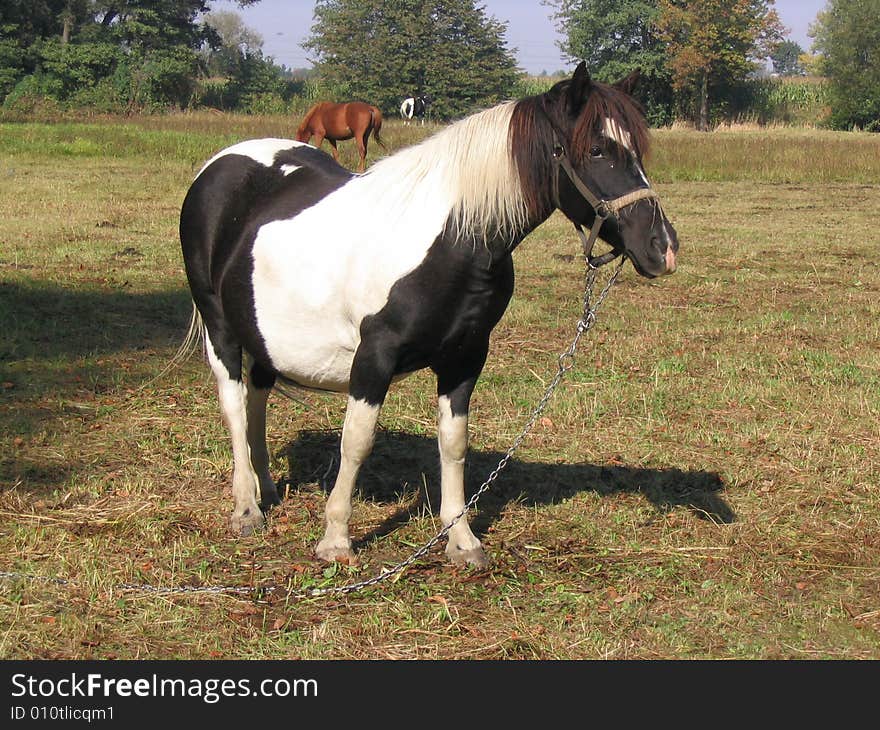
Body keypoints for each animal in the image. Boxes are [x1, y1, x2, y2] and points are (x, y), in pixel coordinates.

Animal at [177, 62, 672, 564]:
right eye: (597, 149)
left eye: (637, 151)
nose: (662, 248)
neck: (453, 239)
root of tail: (221, 164)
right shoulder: (373, 356)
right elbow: (356, 442)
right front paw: (336, 538)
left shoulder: (466, 357)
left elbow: (453, 444)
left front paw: (461, 539)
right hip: (220, 326)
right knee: (234, 405)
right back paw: (246, 507)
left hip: (263, 333)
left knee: (257, 398)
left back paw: (268, 489)